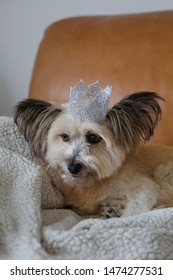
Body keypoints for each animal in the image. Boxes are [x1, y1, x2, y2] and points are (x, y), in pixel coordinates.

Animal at [13, 83, 173, 219]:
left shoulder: (146, 190)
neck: (95, 182)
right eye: (65, 137)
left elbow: (134, 210)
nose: (72, 167)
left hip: (163, 171)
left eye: (93, 137)